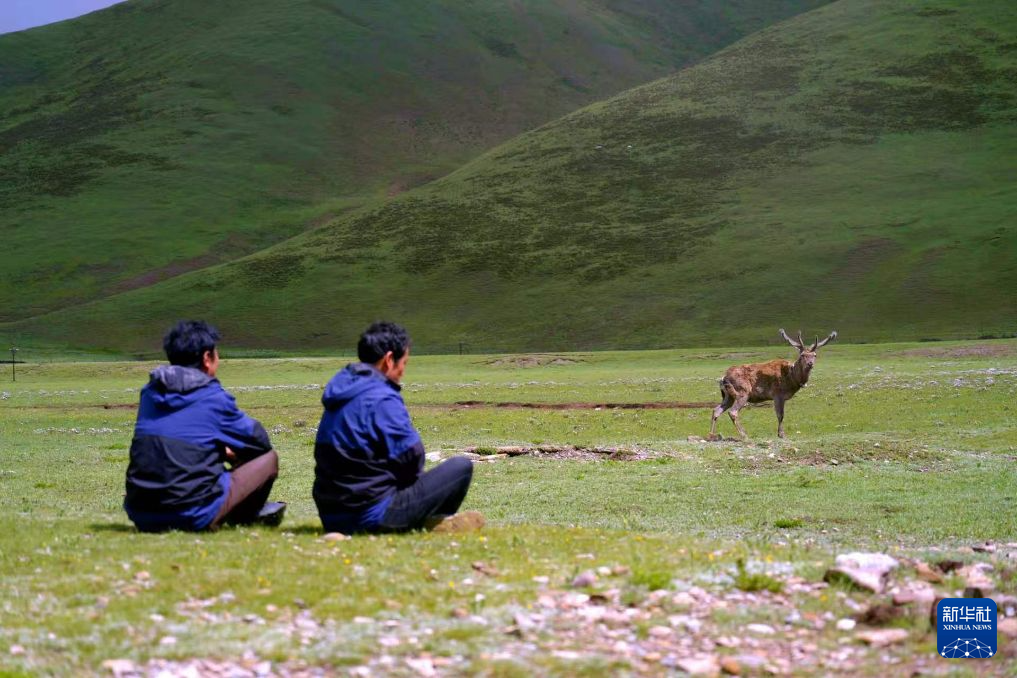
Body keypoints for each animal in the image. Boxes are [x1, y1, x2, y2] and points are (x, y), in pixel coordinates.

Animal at [708, 329, 837, 441]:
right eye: (802, 355)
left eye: (815, 355)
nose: (810, 363)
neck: (792, 378)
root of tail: (723, 378)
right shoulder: (778, 394)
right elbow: (780, 415)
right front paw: (781, 434)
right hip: (742, 392)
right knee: (733, 412)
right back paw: (744, 434)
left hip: (727, 396)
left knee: (716, 410)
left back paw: (711, 435)